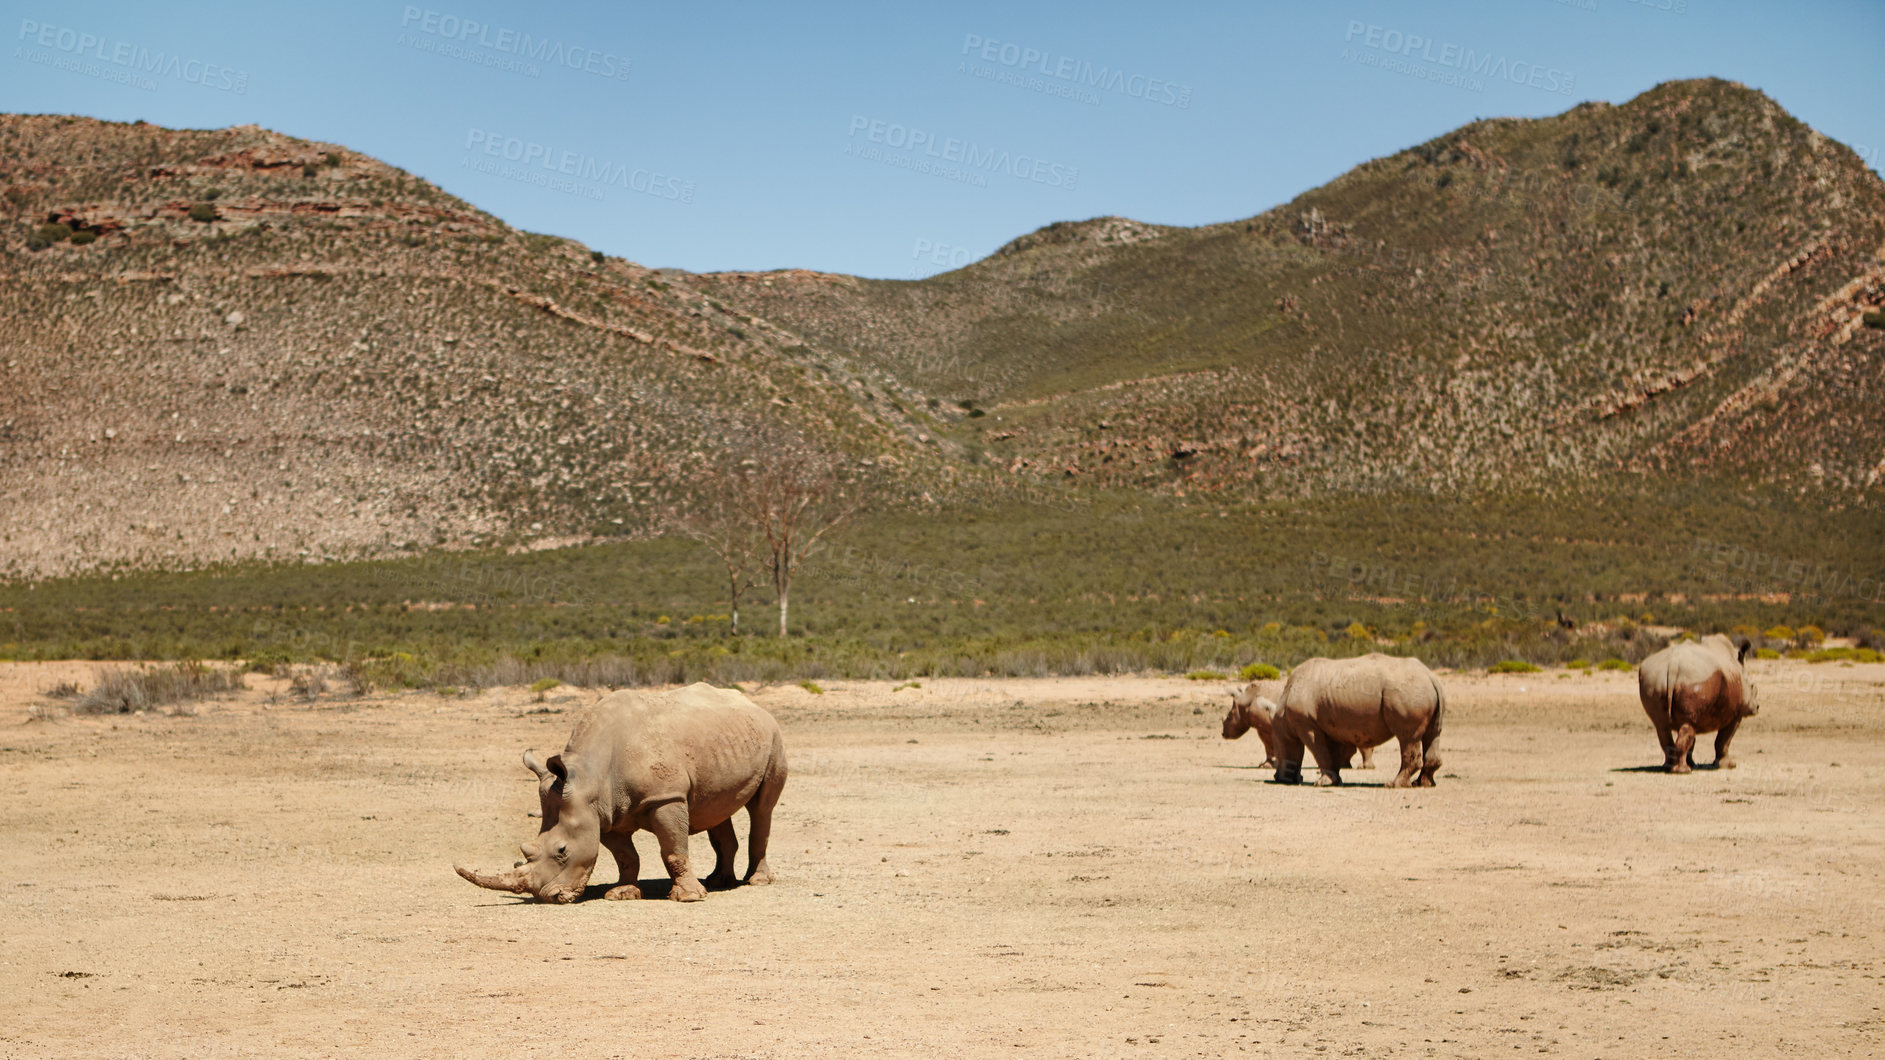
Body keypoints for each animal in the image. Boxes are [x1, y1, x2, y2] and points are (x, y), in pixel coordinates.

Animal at [459, 679, 791, 894]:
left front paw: (687, 896)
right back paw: (717, 882)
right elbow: (625, 856)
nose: (549, 897)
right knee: (715, 808)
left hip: (774, 737)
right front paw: (622, 893)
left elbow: (673, 849)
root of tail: (754, 705)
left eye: (562, 851)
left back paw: (755, 881)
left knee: (762, 809)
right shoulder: (605, 814)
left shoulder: (665, 797)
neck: (588, 777)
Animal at [1643, 629, 1756, 773]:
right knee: (1686, 726)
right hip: (1696, 678)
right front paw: (1730, 765)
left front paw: (1693, 764)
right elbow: (1724, 741)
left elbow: (1694, 740)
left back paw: (1669, 768)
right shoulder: (1736, 715)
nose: (1757, 707)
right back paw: (1683, 771)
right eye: (1752, 686)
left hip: (1654, 677)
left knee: (1662, 727)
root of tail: (1674, 663)